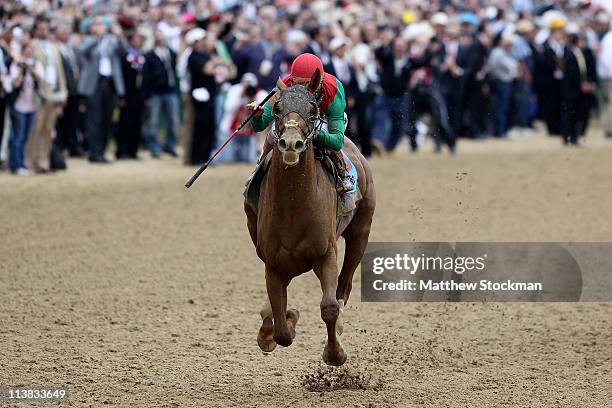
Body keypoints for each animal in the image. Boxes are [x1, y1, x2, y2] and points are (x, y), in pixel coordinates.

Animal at [245, 70, 378, 366]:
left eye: (312, 108)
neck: (294, 208)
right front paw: (281, 324)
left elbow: (329, 307)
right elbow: (281, 326)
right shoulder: (272, 262)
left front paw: (335, 353)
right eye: (277, 108)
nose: (291, 143)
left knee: (344, 287)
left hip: (361, 231)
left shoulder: (325, 253)